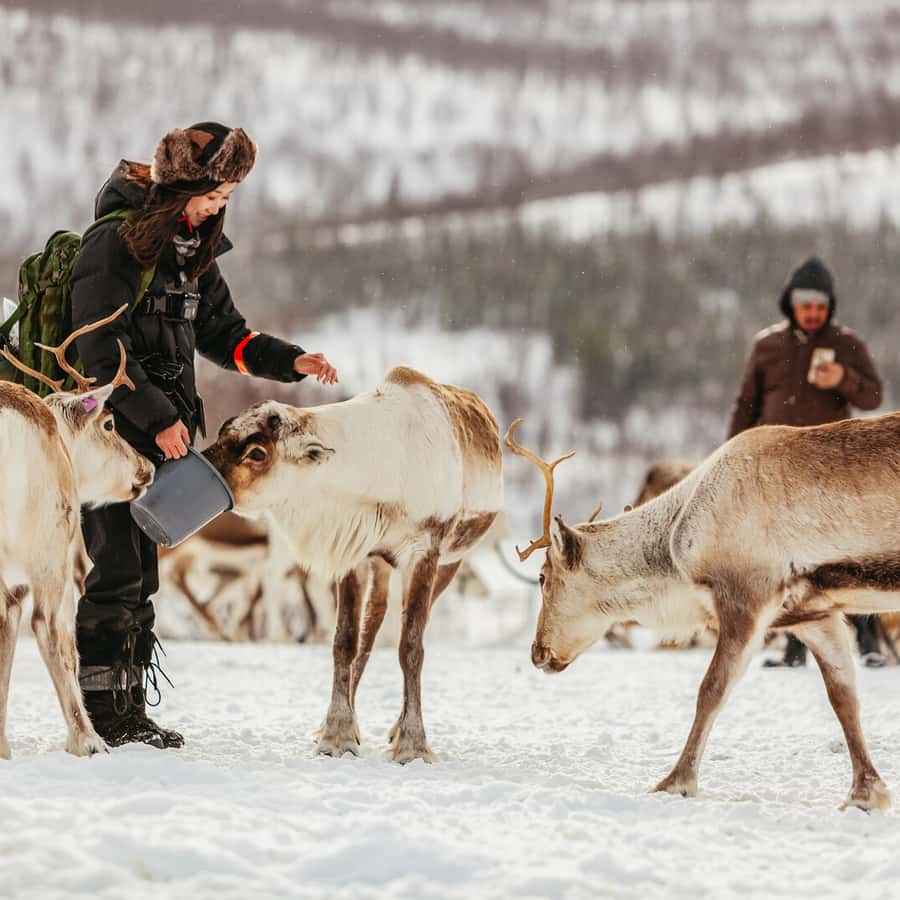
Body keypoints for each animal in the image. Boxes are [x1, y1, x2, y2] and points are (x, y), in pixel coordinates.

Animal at [204, 365, 503, 763]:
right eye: (223, 431)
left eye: (257, 452)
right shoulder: (354, 552)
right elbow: (345, 640)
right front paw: (336, 733)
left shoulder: (424, 552)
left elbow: (411, 647)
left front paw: (412, 743)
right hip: (382, 564)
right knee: (372, 623)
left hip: (451, 561)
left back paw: (395, 727)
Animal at [506, 414, 900, 811]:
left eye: (542, 576)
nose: (537, 652)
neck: (676, 546)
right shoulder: (814, 614)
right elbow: (843, 697)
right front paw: (866, 792)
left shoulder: (745, 598)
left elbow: (711, 690)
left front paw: (675, 782)